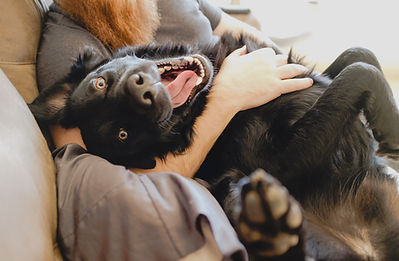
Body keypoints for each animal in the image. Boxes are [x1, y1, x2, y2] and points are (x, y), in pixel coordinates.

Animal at [29, 33, 399, 258]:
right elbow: (357, 73)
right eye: (124, 134)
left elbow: (357, 54)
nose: (144, 94)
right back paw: (272, 228)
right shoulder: (278, 164)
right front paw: (388, 135)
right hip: (238, 186)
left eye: (100, 83)